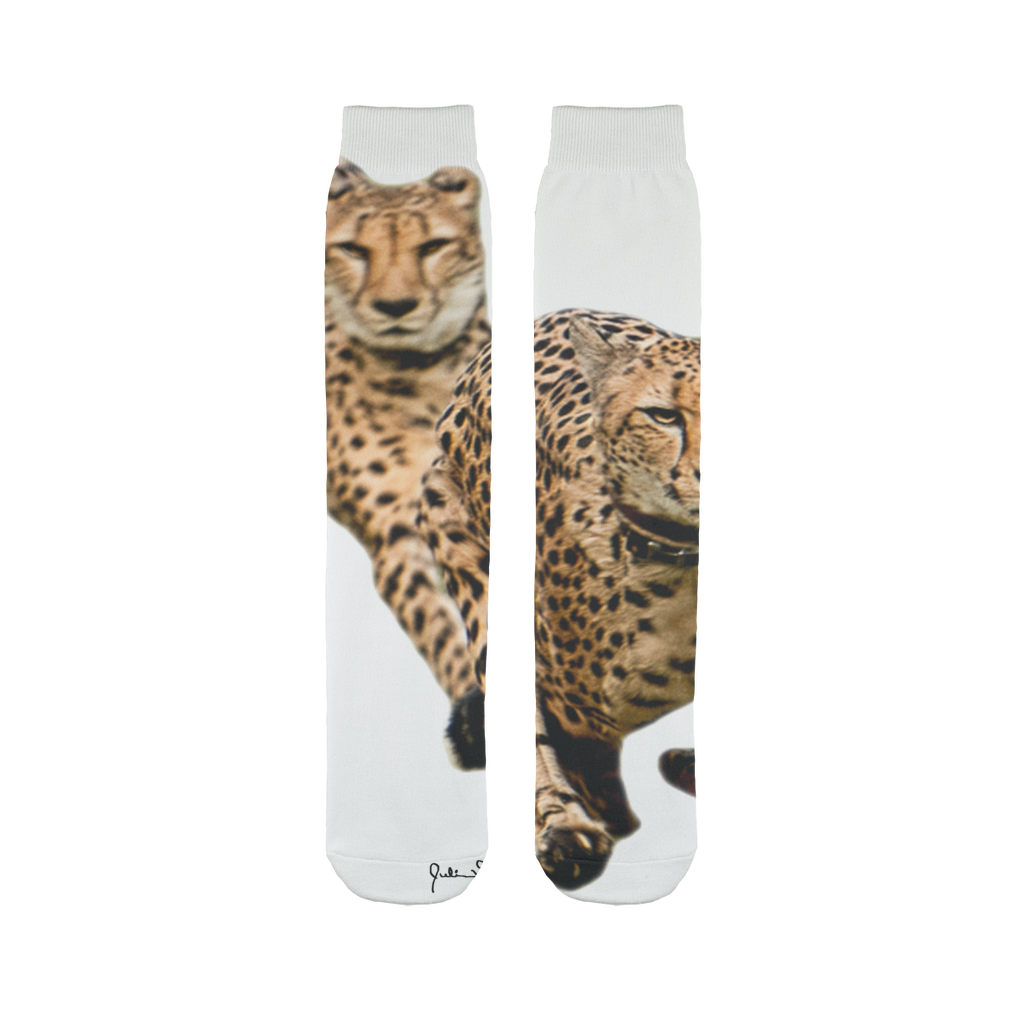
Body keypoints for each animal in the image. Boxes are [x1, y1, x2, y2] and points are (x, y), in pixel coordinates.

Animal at [323, 158, 491, 770]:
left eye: (432, 246)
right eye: (353, 249)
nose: (395, 307)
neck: (425, 371)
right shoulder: (398, 535)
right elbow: (447, 622)